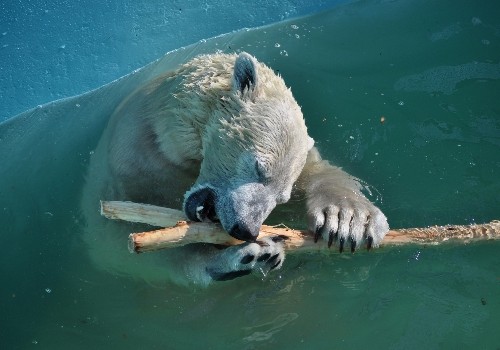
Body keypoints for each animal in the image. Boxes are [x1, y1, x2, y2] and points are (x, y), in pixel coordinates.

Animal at [82, 52, 388, 286]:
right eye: (258, 166)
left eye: (282, 197)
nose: (247, 229)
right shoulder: (131, 164)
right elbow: (121, 237)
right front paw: (242, 257)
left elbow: (316, 172)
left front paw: (350, 219)